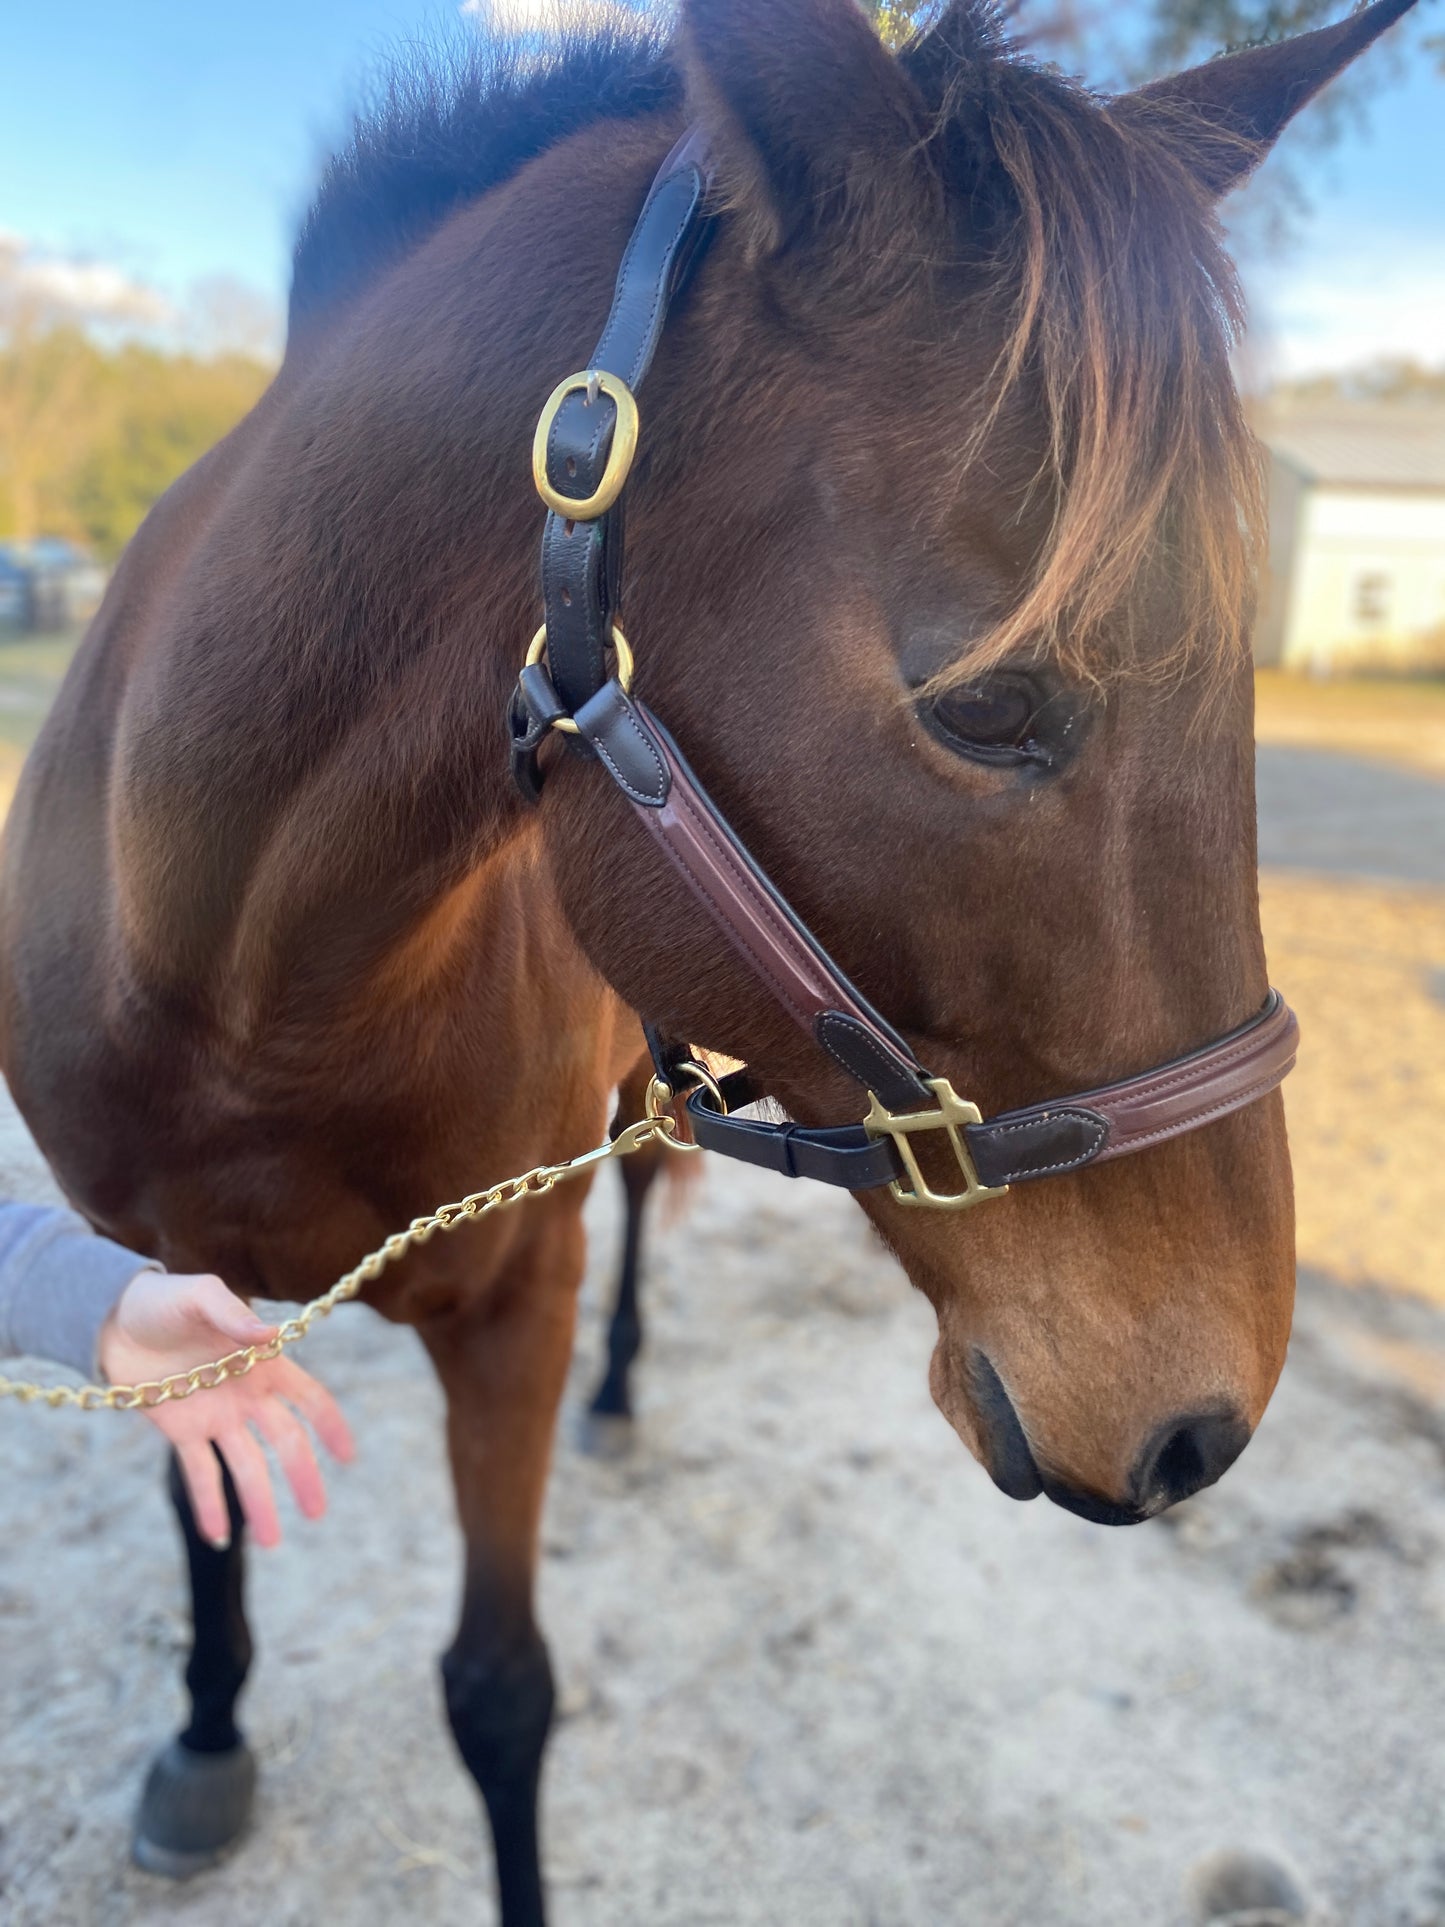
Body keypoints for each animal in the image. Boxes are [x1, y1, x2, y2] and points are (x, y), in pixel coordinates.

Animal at [0, 0, 1425, 1919]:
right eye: (989, 704)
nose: (1206, 1427)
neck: (237, 983)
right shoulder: (156, 1271)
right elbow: (208, 1508)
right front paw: (208, 1740)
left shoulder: (509, 1297)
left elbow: (500, 1690)